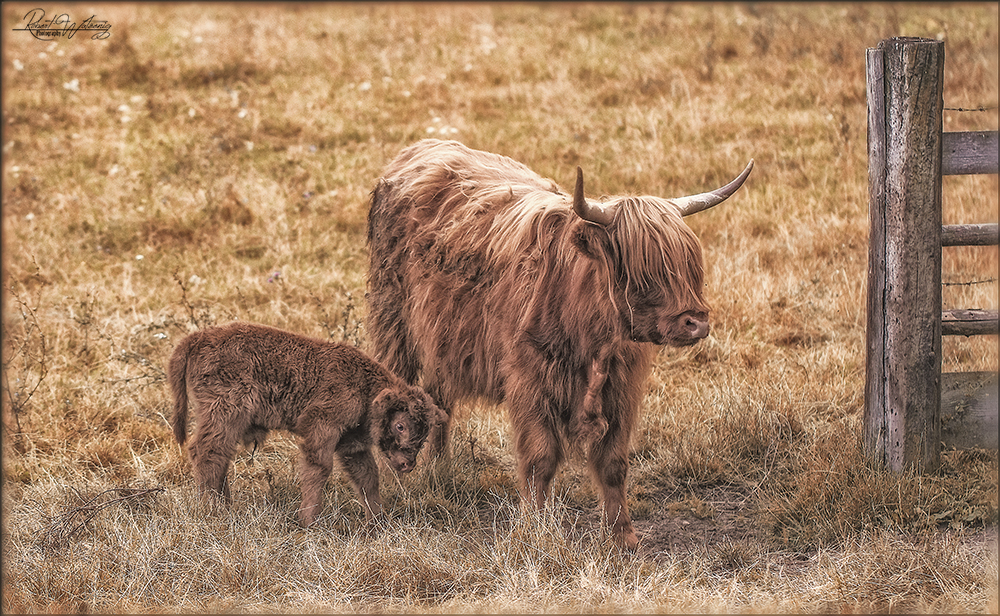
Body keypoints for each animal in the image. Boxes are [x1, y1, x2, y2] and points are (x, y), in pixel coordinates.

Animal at [169, 320, 446, 528]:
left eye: (425, 432)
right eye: (400, 425)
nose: (407, 464)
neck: (365, 387)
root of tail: (198, 338)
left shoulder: (353, 446)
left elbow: (368, 478)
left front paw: (378, 523)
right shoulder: (322, 428)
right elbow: (319, 470)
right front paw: (309, 521)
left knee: (220, 456)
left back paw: (225, 506)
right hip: (225, 413)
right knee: (207, 452)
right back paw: (212, 510)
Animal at [368, 140, 752, 548]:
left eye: (691, 264)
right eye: (642, 269)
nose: (696, 322)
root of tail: (423, 147)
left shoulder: (622, 388)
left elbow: (614, 463)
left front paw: (622, 536)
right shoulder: (529, 381)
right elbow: (541, 459)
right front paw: (535, 529)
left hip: (442, 340)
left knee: (438, 400)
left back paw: (440, 472)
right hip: (394, 325)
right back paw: (396, 480)